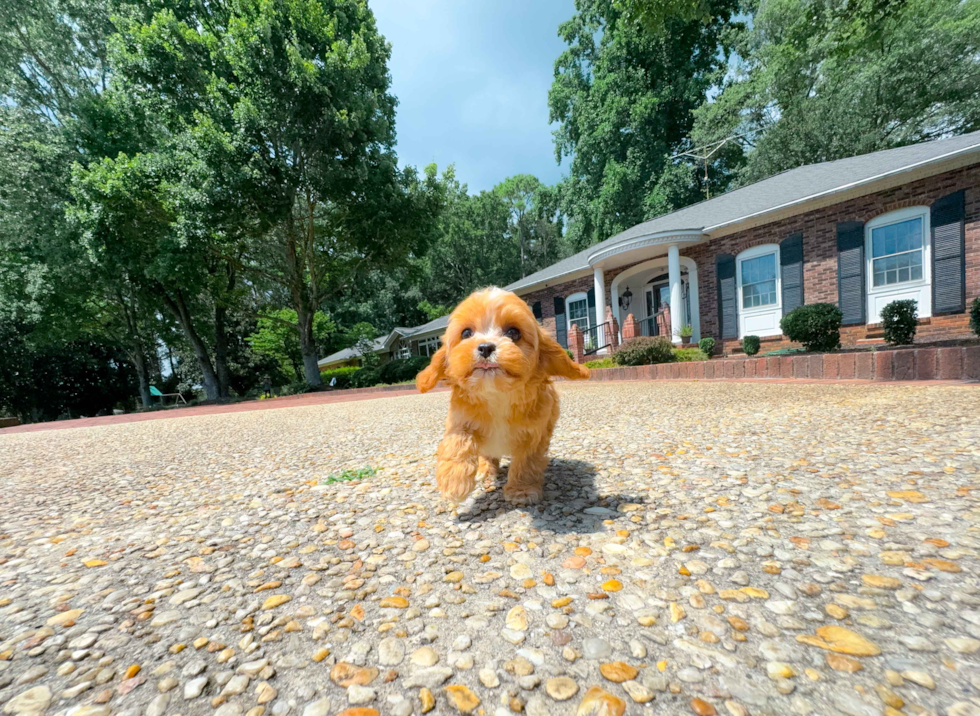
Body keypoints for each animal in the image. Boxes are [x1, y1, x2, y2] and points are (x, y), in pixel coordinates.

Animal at [416, 286, 588, 504]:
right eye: (466, 333)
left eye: (513, 332)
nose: (485, 347)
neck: (496, 394)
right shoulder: (460, 419)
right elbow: (457, 442)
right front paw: (454, 481)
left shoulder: (534, 435)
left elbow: (526, 462)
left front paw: (522, 490)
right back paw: (484, 470)